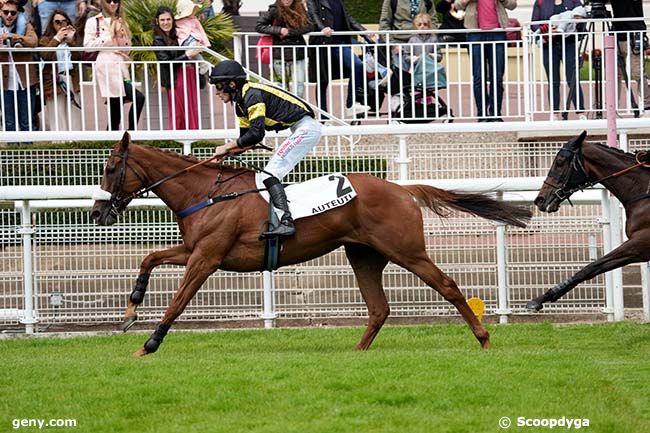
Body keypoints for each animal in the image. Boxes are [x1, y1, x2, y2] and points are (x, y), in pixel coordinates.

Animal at [91, 132, 528, 354]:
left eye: (110, 168)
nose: (96, 213)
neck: (207, 192)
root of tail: (403, 190)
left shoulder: (207, 257)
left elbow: (178, 301)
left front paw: (150, 343)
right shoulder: (195, 250)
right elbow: (150, 257)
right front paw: (130, 309)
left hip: (407, 251)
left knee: (449, 287)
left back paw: (484, 339)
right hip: (363, 255)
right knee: (379, 308)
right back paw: (357, 352)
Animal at [528, 132, 648, 310]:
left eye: (559, 161)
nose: (539, 200)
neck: (644, 191)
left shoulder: (640, 242)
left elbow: (590, 267)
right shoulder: (640, 250)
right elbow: (593, 268)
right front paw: (543, 296)